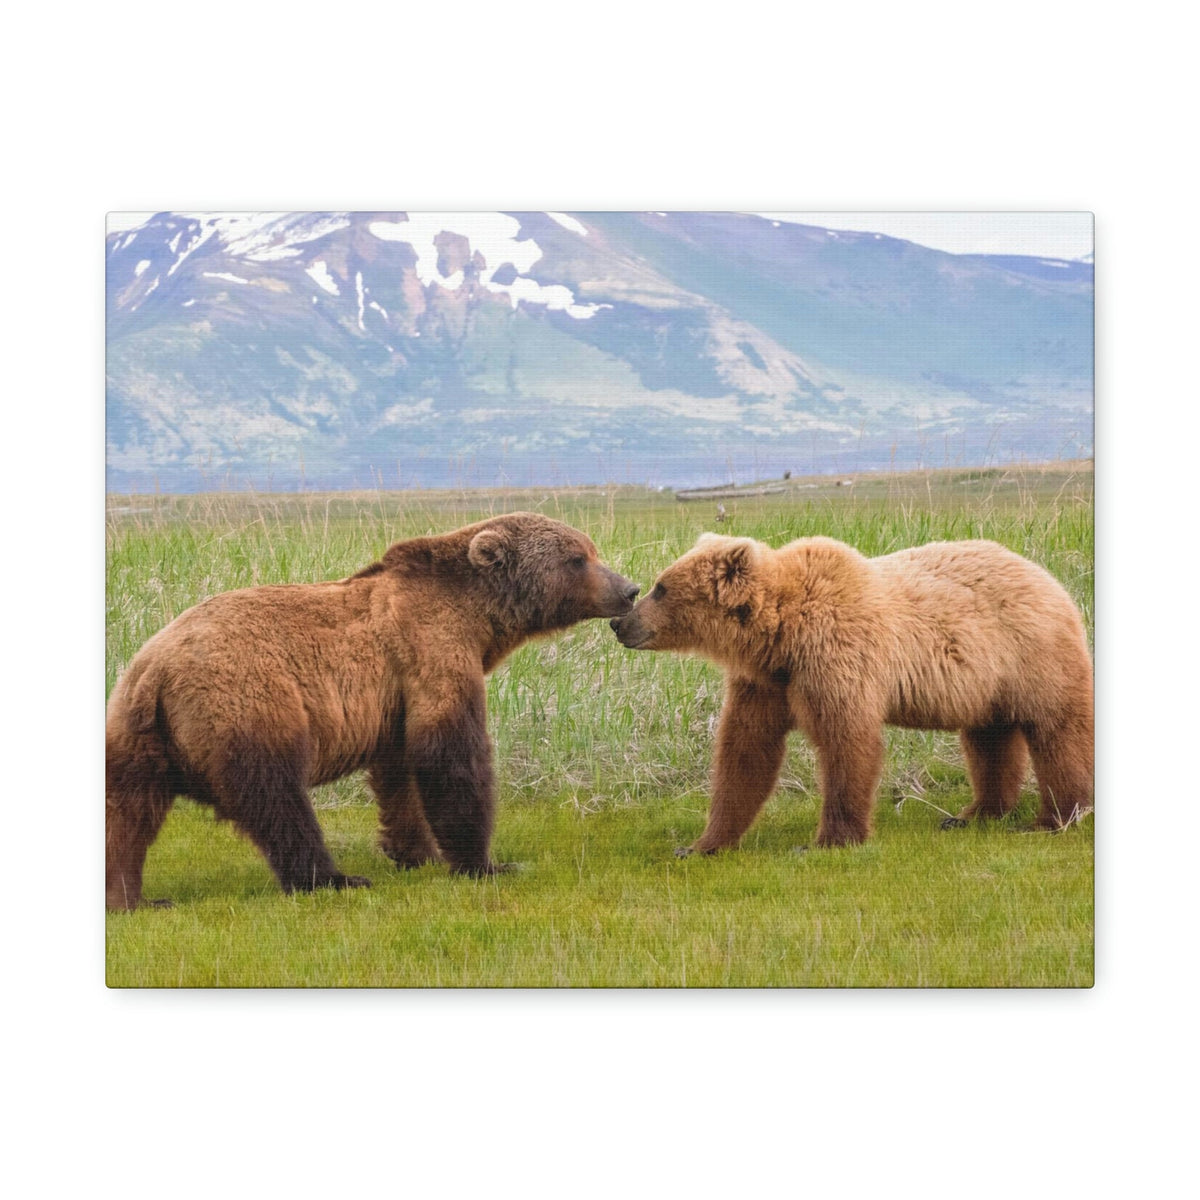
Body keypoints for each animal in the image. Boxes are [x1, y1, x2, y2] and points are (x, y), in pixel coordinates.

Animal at [106, 513, 639, 910]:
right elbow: (450, 756)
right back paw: (332, 878)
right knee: (277, 798)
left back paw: (131, 897)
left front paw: (417, 852)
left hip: (136, 735)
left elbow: (400, 773)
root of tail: (155, 671)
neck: (478, 619)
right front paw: (485, 862)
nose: (629, 588)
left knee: (126, 814)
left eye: (590, 550)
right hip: (245, 704)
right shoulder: (432, 651)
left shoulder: (394, 699)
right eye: (577, 558)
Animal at [610, 533, 1093, 853]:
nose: (620, 622)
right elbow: (746, 751)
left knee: (1057, 731)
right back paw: (973, 814)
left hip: (1032, 656)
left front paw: (829, 839)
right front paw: (702, 843)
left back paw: (1055, 817)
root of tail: (1051, 580)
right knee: (989, 739)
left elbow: (847, 742)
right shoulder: (768, 682)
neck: (781, 634)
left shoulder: (835, 657)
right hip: (985, 683)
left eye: (661, 588)